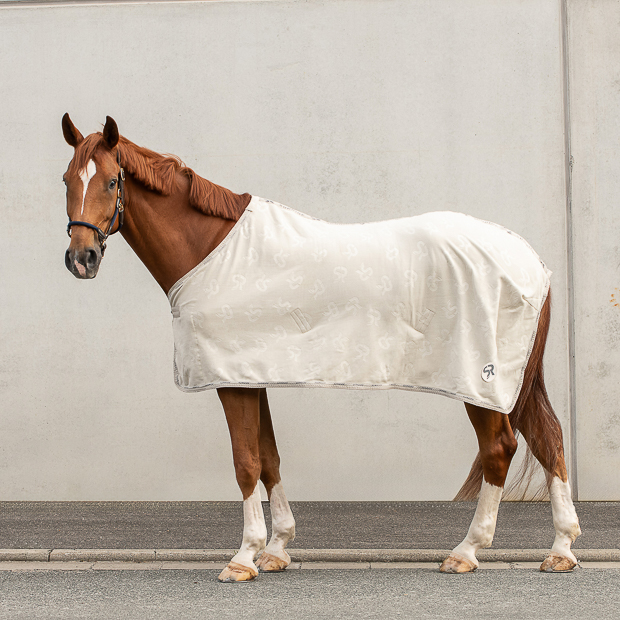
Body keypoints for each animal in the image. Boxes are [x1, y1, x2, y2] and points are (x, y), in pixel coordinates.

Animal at [61, 112, 580, 580]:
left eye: (112, 181)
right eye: (66, 179)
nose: (81, 259)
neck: (211, 248)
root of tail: (533, 261)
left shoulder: (231, 380)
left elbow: (246, 463)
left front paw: (243, 558)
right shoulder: (251, 376)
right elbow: (269, 458)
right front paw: (276, 550)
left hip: (481, 381)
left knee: (500, 448)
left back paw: (467, 551)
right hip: (514, 381)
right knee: (549, 438)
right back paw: (560, 550)